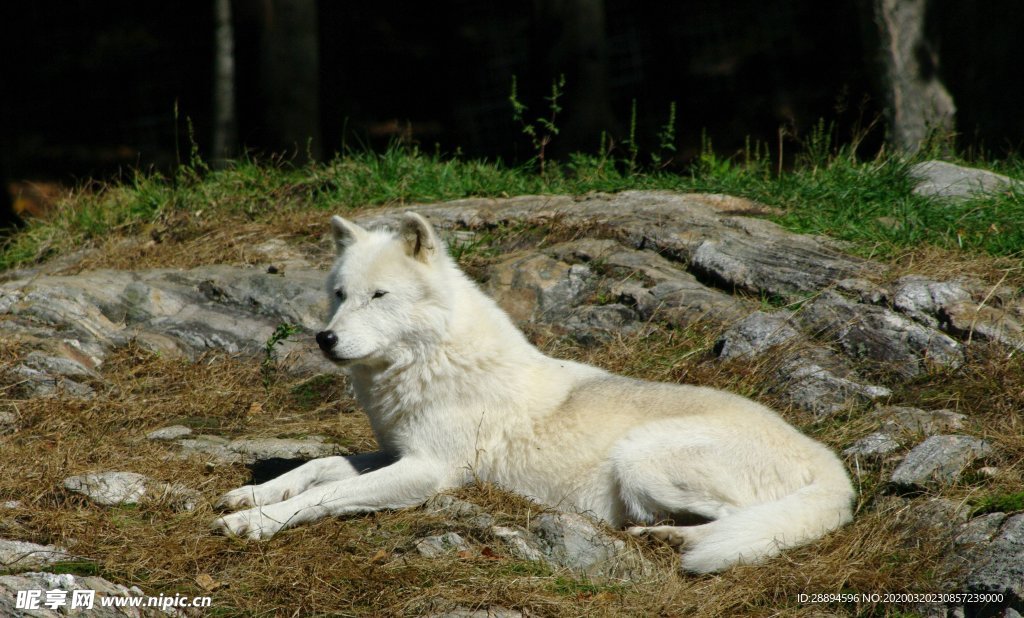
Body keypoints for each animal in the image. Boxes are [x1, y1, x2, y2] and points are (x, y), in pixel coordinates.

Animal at [211, 212, 851, 572]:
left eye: (379, 297)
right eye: (340, 295)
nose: (325, 338)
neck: (430, 365)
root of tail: (832, 466)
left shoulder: (429, 472)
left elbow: (326, 495)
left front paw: (254, 525)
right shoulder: (397, 452)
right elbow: (320, 465)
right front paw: (252, 495)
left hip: (641, 460)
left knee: (740, 522)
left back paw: (665, 538)